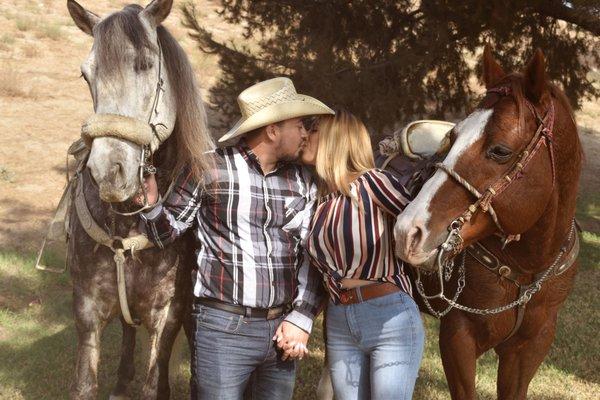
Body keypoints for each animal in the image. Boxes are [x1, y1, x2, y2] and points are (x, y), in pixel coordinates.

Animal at [66, 1, 213, 398]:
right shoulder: (87, 308)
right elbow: (85, 384)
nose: (109, 171)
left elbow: (154, 379)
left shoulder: (168, 313)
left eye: (146, 64)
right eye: (85, 75)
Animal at [394, 45, 580, 398]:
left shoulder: (529, 349)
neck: (526, 268)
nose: (408, 231)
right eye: (451, 137)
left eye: (500, 150)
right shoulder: (459, 338)